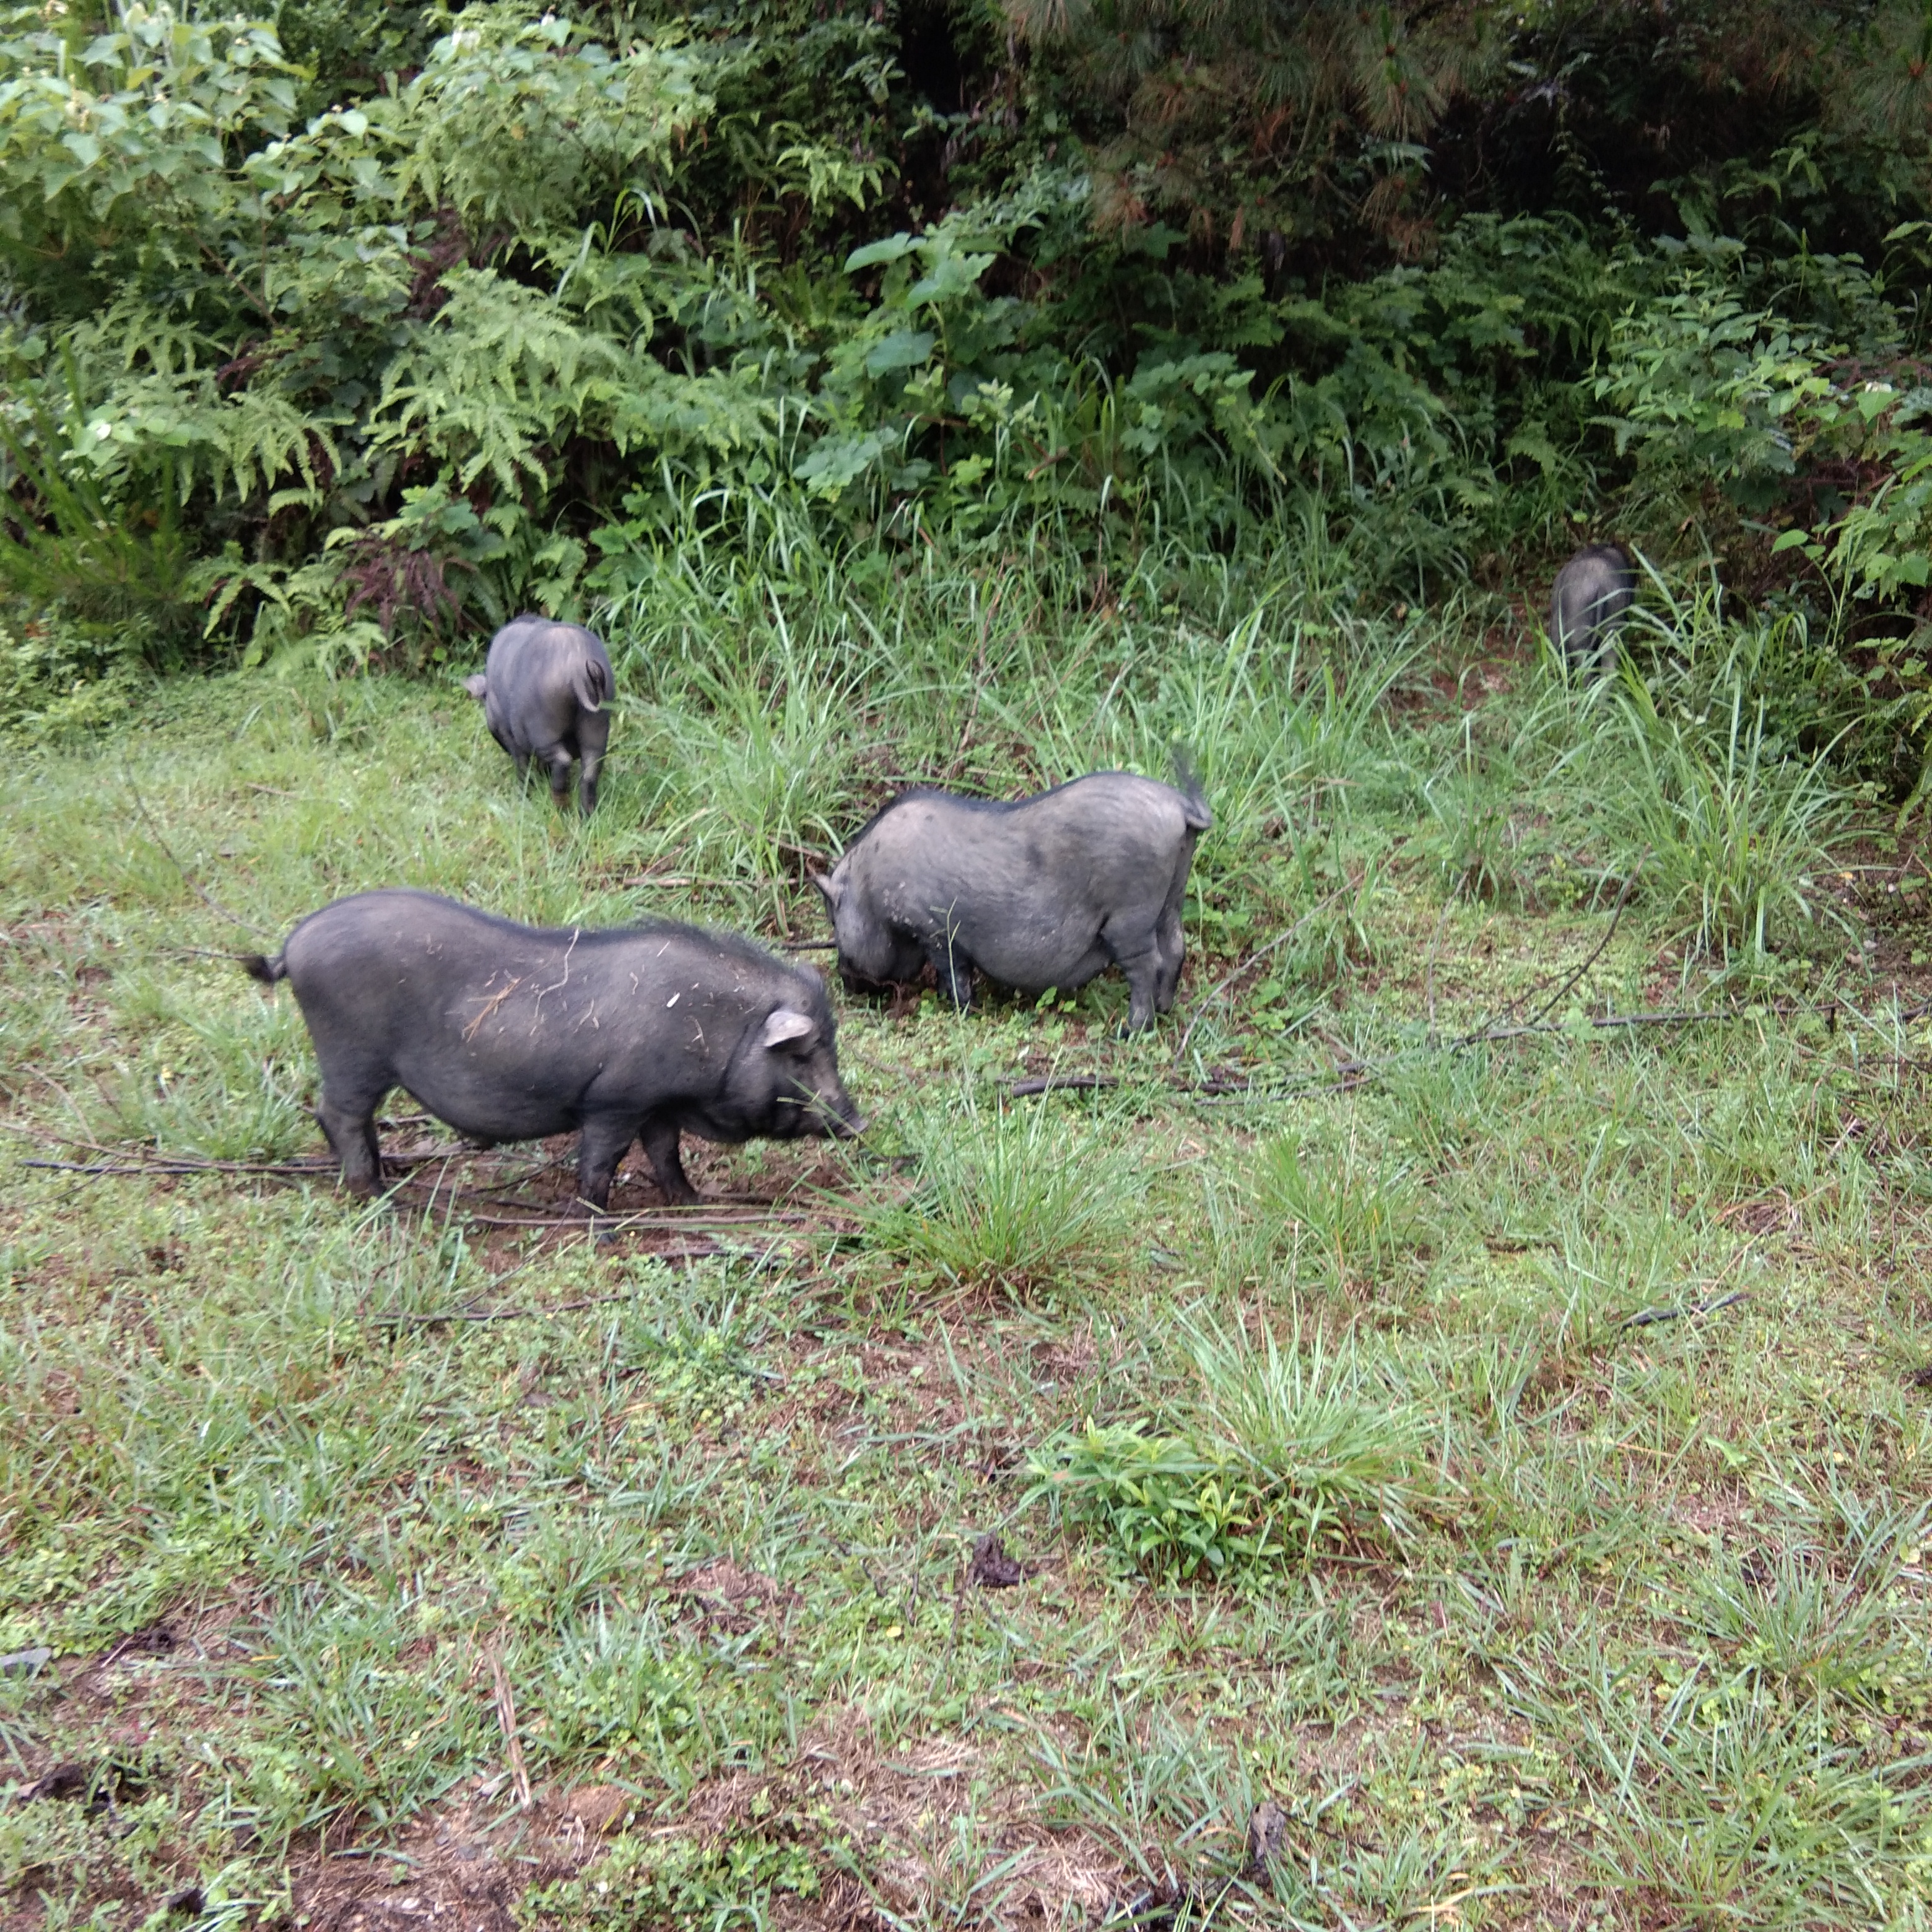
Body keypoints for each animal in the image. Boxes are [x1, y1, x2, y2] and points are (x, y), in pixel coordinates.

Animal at [242, 889, 861, 1205]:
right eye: (803, 1052)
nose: (858, 1121)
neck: (714, 1026)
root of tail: (293, 945)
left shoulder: (657, 1104)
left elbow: (666, 1154)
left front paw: (694, 1202)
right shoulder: (615, 1100)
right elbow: (603, 1161)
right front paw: (600, 1226)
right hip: (351, 1055)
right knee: (336, 1114)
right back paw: (379, 1197)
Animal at [459, 618, 610, 815]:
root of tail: (577, 669)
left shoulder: (508, 733)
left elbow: (521, 762)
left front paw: (522, 795)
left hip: (543, 727)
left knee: (562, 760)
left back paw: (560, 808)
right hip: (597, 722)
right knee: (591, 768)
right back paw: (586, 815)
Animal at [811, 765, 1205, 1035]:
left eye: (834, 918)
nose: (844, 981)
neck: (868, 887)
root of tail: (1180, 807)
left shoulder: (934, 928)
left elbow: (953, 970)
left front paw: (957, 1009)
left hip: (1131, 915)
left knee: (1148, 963)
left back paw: (1130, 1030)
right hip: (1171, 897)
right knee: (1176, 945)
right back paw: (1165, 1010)